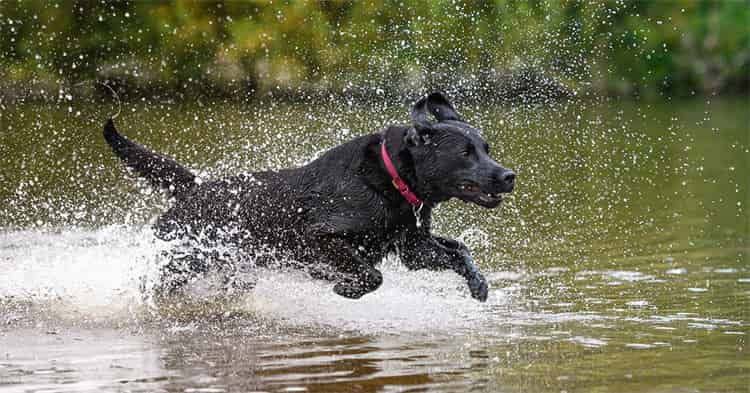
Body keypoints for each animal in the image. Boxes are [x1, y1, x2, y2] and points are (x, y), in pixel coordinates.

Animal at [104, 92, 516, 300]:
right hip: (180, 263)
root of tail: (192, 188)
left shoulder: (412, 247)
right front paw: (345, 287)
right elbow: (373, 275)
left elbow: (460, 250)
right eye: (465, 153)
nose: (508, 176)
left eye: (486, 149)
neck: (391, 180)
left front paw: (478, 284)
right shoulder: (320, 237)